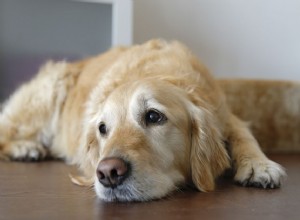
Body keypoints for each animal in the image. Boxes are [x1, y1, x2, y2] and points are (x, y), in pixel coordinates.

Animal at [0, 39, 286, 201]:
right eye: (102, 128)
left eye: (153, 116)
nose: (108, 173)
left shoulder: (224, 115)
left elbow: (244, 134)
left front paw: (259, 165)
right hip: (48, 92)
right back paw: (26, 148)